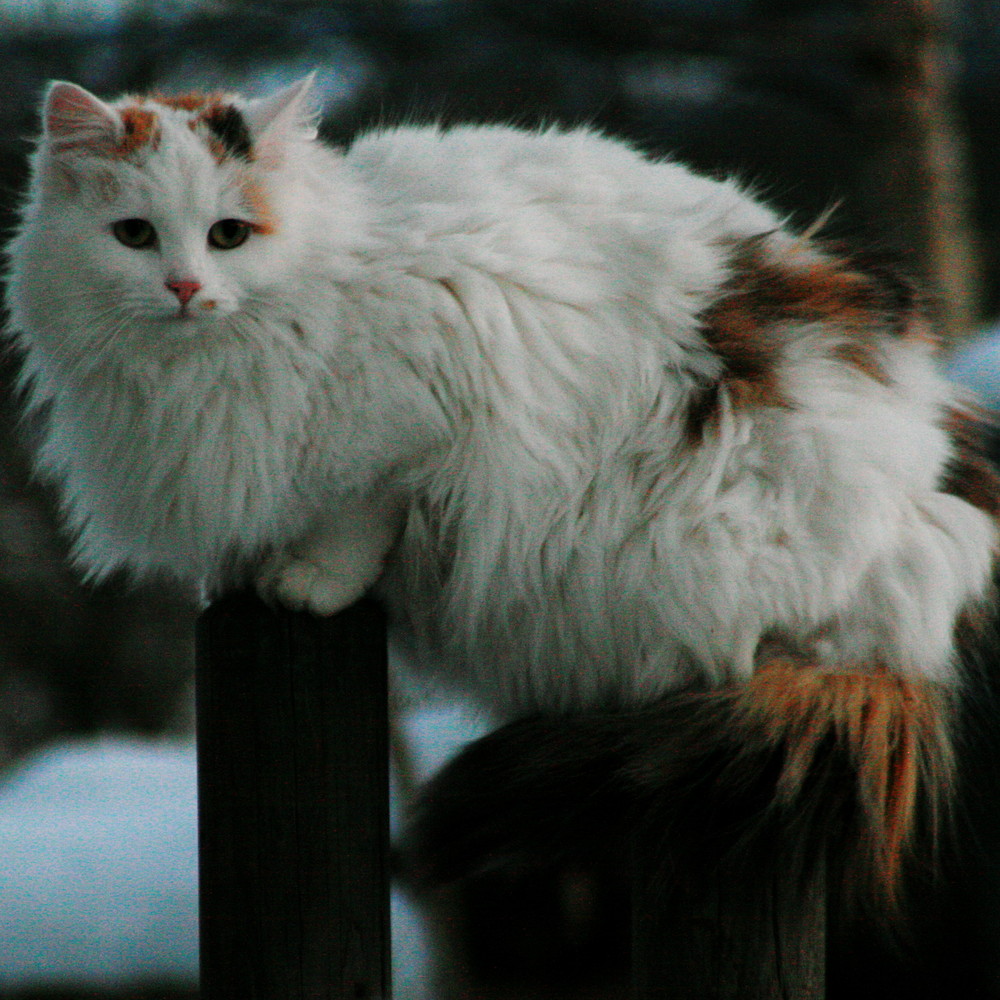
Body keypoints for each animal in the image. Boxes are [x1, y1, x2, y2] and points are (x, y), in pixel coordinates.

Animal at [7, 72, 1000, 900]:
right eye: (134, 236)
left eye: (228, 235)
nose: (183, 287)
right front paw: (245, 576)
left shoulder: (421, 413)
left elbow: (355, 513)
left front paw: (307, 582)